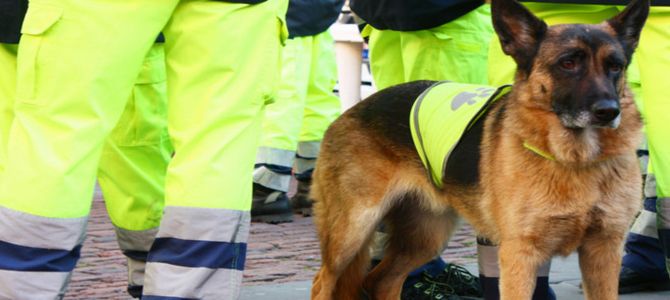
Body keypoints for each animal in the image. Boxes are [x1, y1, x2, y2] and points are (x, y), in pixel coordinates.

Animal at [310, 0, 652, 300]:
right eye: (568, 63)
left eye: (615, 67)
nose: (608, 112)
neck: (575, 160)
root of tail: (352, 109)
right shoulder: (520, 254)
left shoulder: (603, 252)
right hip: (351, 233)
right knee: (322, 282)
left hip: (425, 238)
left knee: (381, 281)